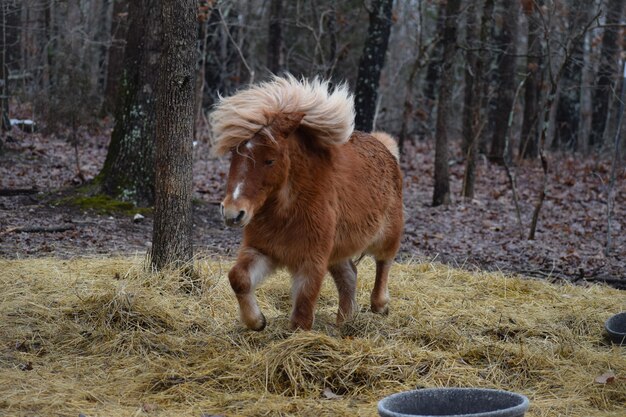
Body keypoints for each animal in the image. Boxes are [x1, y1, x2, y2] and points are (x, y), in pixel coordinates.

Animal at [210, 74, 402, 328]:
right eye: (234, 154)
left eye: (270, 160)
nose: (232, 213)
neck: (286, 210)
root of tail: (386, 150)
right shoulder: (262, 249)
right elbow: (238, 277)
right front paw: (257, 321)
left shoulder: (311, 262)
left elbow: (302, 314)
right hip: (338, 251)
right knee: (349, 275)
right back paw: (344, 321)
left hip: (387, 235)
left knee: (384, 262)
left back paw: (380, 304)